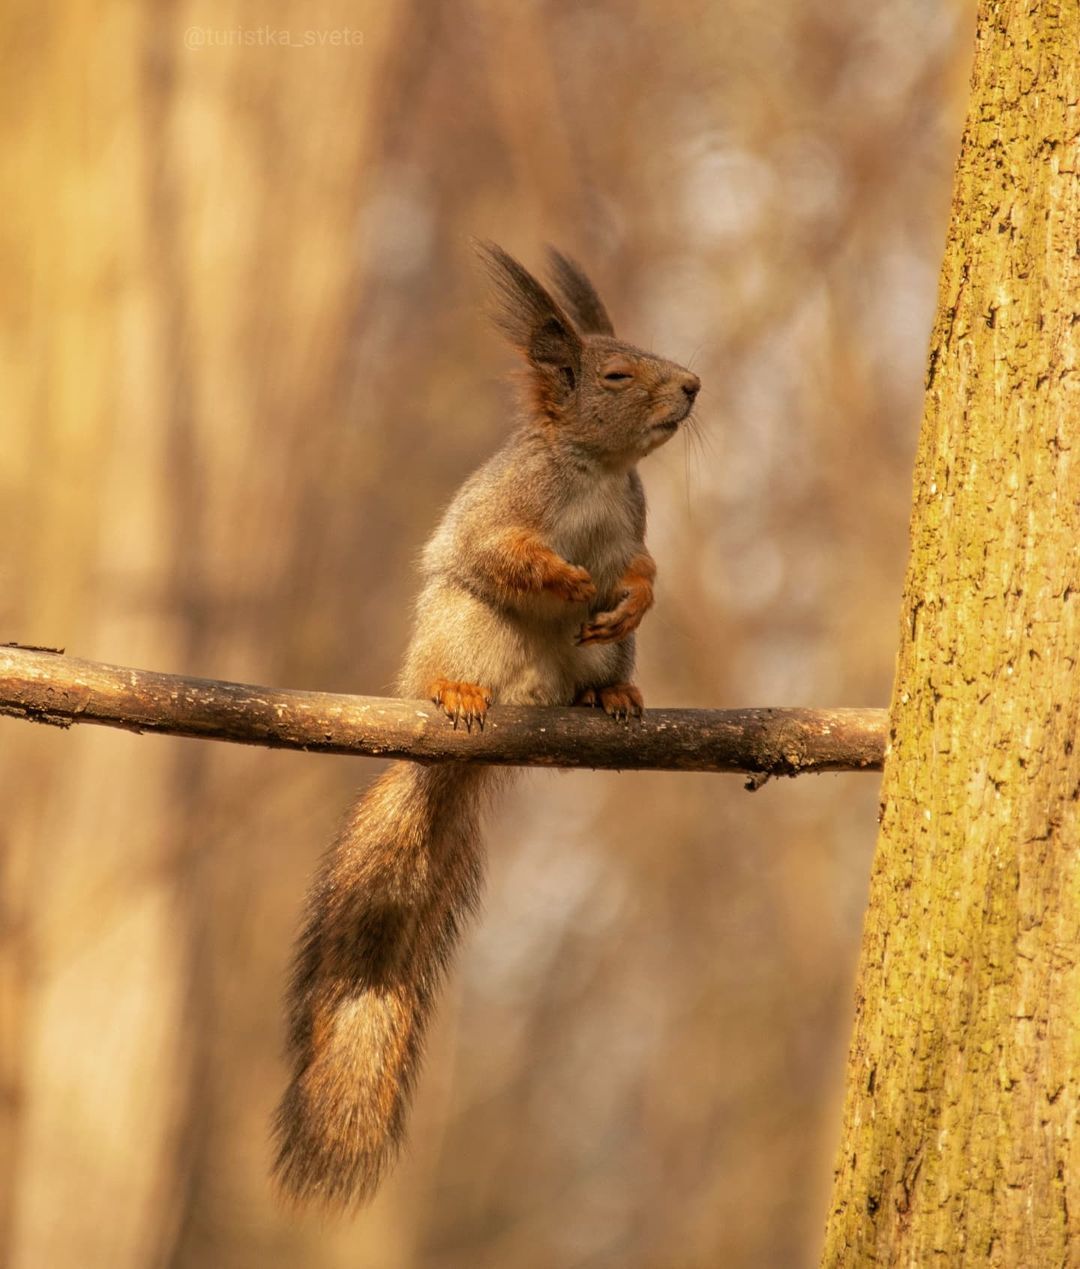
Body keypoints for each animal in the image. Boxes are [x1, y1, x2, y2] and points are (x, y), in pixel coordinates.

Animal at [272, 239, 700, 1208]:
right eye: (617, 374)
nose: (694, 384)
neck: (595, 471)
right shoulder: (502, 513)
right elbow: (503, 551)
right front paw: (567, 577)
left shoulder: (634, 523)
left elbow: (645, 568)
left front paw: (630, 595)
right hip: (463, 628)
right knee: (460, 652)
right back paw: (458, 693)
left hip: (591, 662)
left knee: (599, 670)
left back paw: (611, 700)